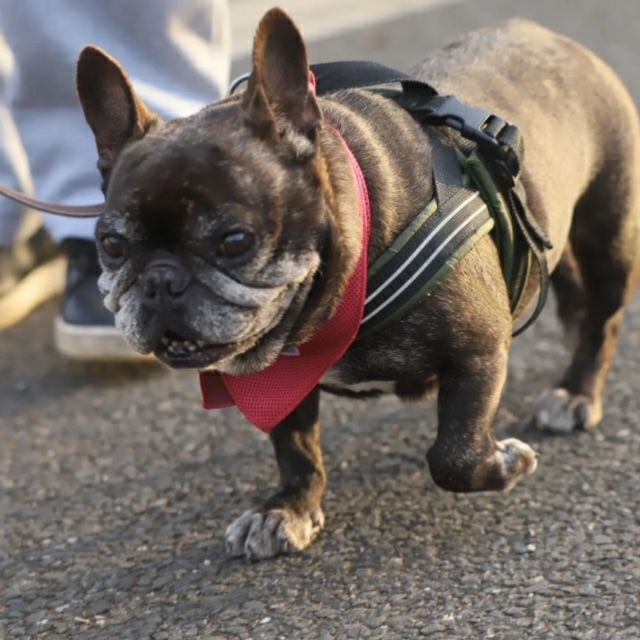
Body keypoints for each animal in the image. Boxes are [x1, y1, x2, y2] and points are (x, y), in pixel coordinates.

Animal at [76, 8, 639, 560]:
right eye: (112, 244)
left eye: (235, 241)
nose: (160, 282)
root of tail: (547, 36)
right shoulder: (279, 380)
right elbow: (295, 447)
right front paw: (288, 508)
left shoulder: (479, 350)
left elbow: (453, 456)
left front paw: (506, 463)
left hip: (609, 233)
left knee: (604, 318)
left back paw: (577, 390)